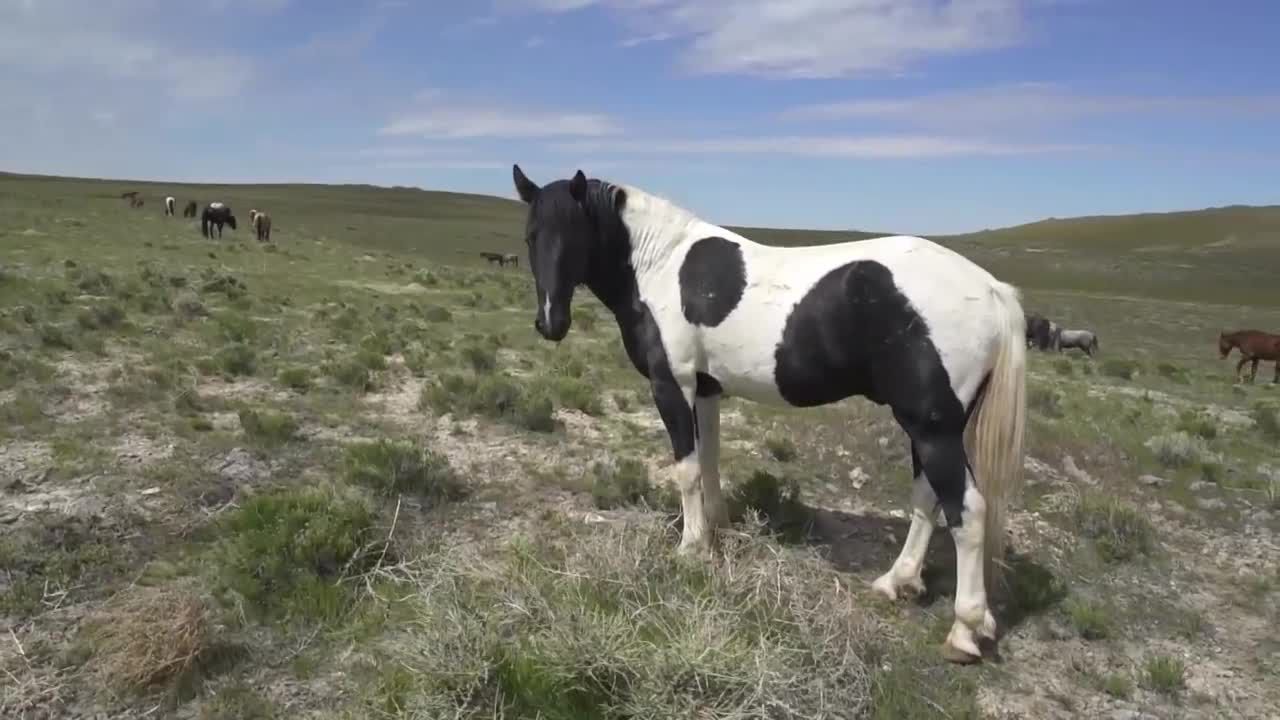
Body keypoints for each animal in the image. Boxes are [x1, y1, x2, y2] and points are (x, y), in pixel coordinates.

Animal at [510, 165, 1027, 665]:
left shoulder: (672, 386)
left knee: (966, 511)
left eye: (576, 234)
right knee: (928, 500)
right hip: (930, 427)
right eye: (531, 236)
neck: (660, 265)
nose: (550, 322)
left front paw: (691, 549)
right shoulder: (706, 390)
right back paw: (896, 583)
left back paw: (964, 630)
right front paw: (715, 529)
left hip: (932, 427)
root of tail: (991, 289)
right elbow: (710, 461)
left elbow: (687, 470)